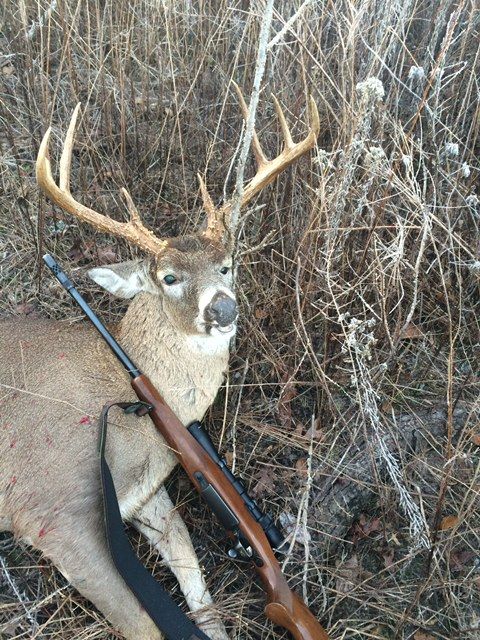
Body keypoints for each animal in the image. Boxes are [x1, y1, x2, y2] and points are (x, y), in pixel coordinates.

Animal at [0, 87, 319, 640]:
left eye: (226, 265)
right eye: (169, 277)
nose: (223, 309)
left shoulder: (145, 495)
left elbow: (196, 581)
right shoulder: (51, 513)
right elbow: (146, 625)